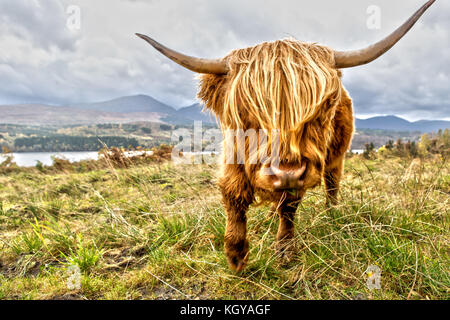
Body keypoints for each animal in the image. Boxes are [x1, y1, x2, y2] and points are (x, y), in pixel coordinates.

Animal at [137, 1, 436, 272]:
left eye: (324, 105)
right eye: (245, 110)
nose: (286, 173)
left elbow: (289, 207)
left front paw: (284, 249)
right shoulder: (232, 157)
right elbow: (233, 197)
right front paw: (235, 254)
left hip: (336, 157)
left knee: (332, 184)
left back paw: (330, 214)